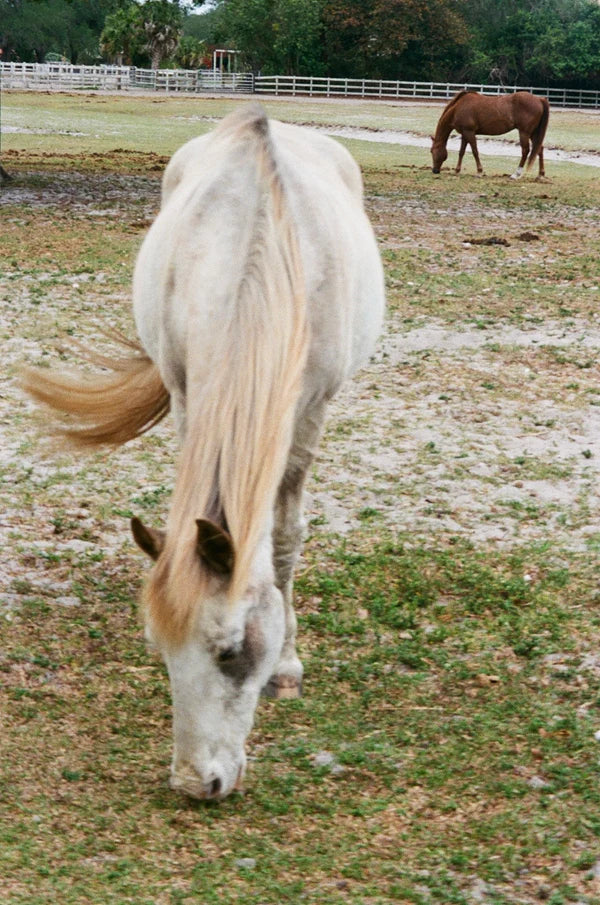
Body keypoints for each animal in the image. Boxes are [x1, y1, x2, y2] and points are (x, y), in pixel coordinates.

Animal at [22, 105, 385, 800]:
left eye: (231, 652)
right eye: (162, 652)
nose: (196, 783)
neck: (256, 261)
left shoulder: (311, 410)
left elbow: (285, 536)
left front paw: (288, 665)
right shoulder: (189, 390)